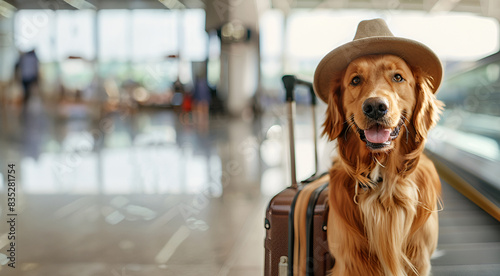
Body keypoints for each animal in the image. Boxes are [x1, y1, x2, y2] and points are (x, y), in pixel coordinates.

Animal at [314, 18, 444, 274]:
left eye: (398, 77)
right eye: (355, 80)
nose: (375, 106)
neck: (384, 179)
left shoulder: (420, 259)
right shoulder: (348, 261)